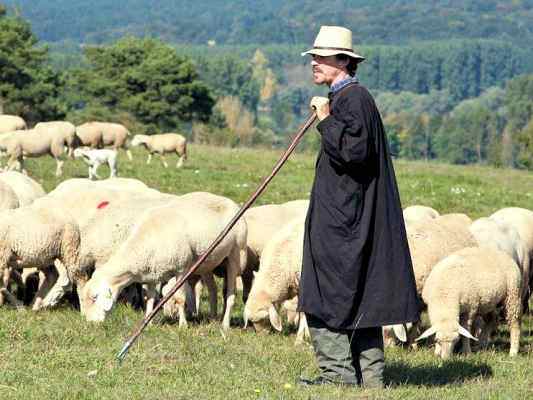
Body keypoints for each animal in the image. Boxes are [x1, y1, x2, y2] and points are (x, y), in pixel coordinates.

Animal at [79, 192, 247, 330]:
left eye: (94, 298)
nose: (91, 324)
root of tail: (231, 202)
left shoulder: (181, 269)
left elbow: (180, 298)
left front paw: (183, 325)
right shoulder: (151, 274)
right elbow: (150, 299)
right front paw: (148, 322)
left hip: (235, 255)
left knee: (230, 294)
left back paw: (225, 324)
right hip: (207, 261)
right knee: (213, 289)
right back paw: (213, 319)